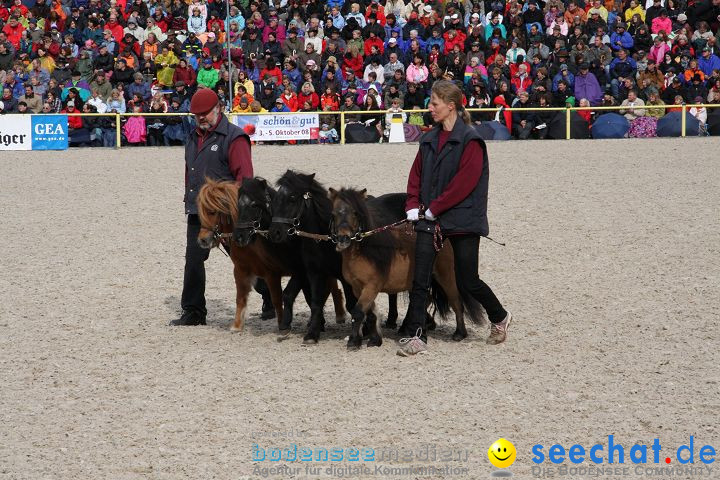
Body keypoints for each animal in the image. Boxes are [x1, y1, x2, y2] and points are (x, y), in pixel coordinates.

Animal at [195, 177, 344, 334]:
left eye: (212, 212)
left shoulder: (273, 273)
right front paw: (237, 326)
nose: (202, 240)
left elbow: (278, 299)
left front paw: (283, 324)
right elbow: (240, 297)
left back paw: (338, 315)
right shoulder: (241, 270)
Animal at [330, 188, 478, 348]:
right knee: (424, 300)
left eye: (355, 213)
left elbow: (358, 312)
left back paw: (459, 333)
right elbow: (369, 313)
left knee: (455, 302)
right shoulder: (357, 288)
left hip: (446, 276)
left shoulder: (371, 286)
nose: (343, 239)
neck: (365, 252)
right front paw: (374, 339)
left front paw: (353, 341)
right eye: (333, 214)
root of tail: (440, 234)